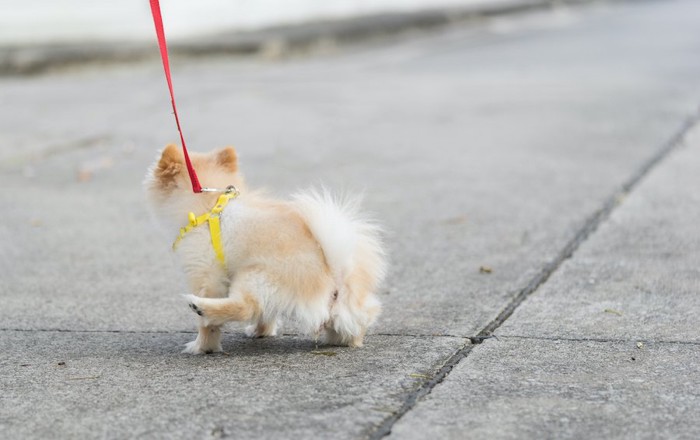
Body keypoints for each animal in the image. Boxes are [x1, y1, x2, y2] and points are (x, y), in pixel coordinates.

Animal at [144, 145, 386, 354]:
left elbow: (209, 325)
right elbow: (267, 315)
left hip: (254, 275)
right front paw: (262, 331)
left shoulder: (206, 274)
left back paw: (201, 307)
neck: (210, 206)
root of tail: (334, 279)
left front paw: (203, 346)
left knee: (246, 306)